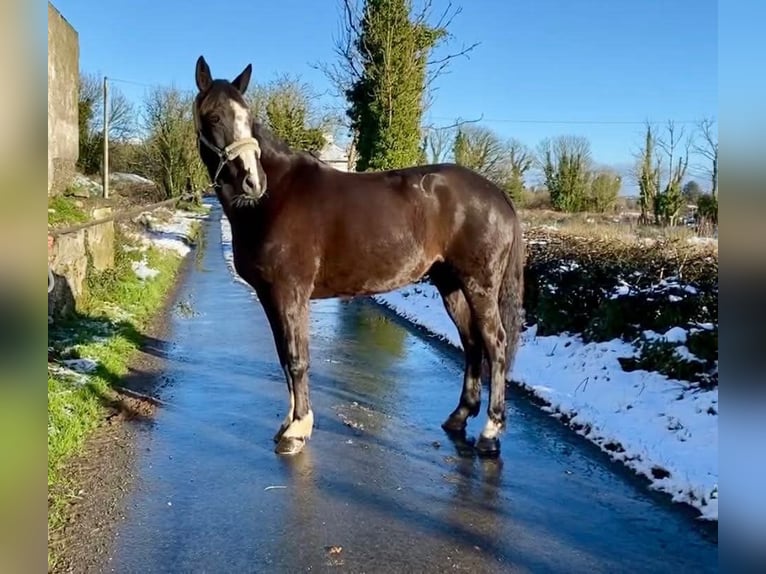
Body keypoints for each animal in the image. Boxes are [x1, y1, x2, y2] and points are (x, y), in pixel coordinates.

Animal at [195, 57, 524, 460]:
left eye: (247, 115)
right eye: (213, 116)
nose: (252, 182)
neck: (273, 200)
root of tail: (499, 194)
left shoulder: (290, 293)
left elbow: (297, 359)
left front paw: (298, 431)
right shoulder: (270, 296)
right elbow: (284, 358)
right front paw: (288, 424)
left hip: (480, 286)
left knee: (495, 344)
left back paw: (490, 434)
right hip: (450, 285)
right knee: (472, 343)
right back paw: (459, 417)